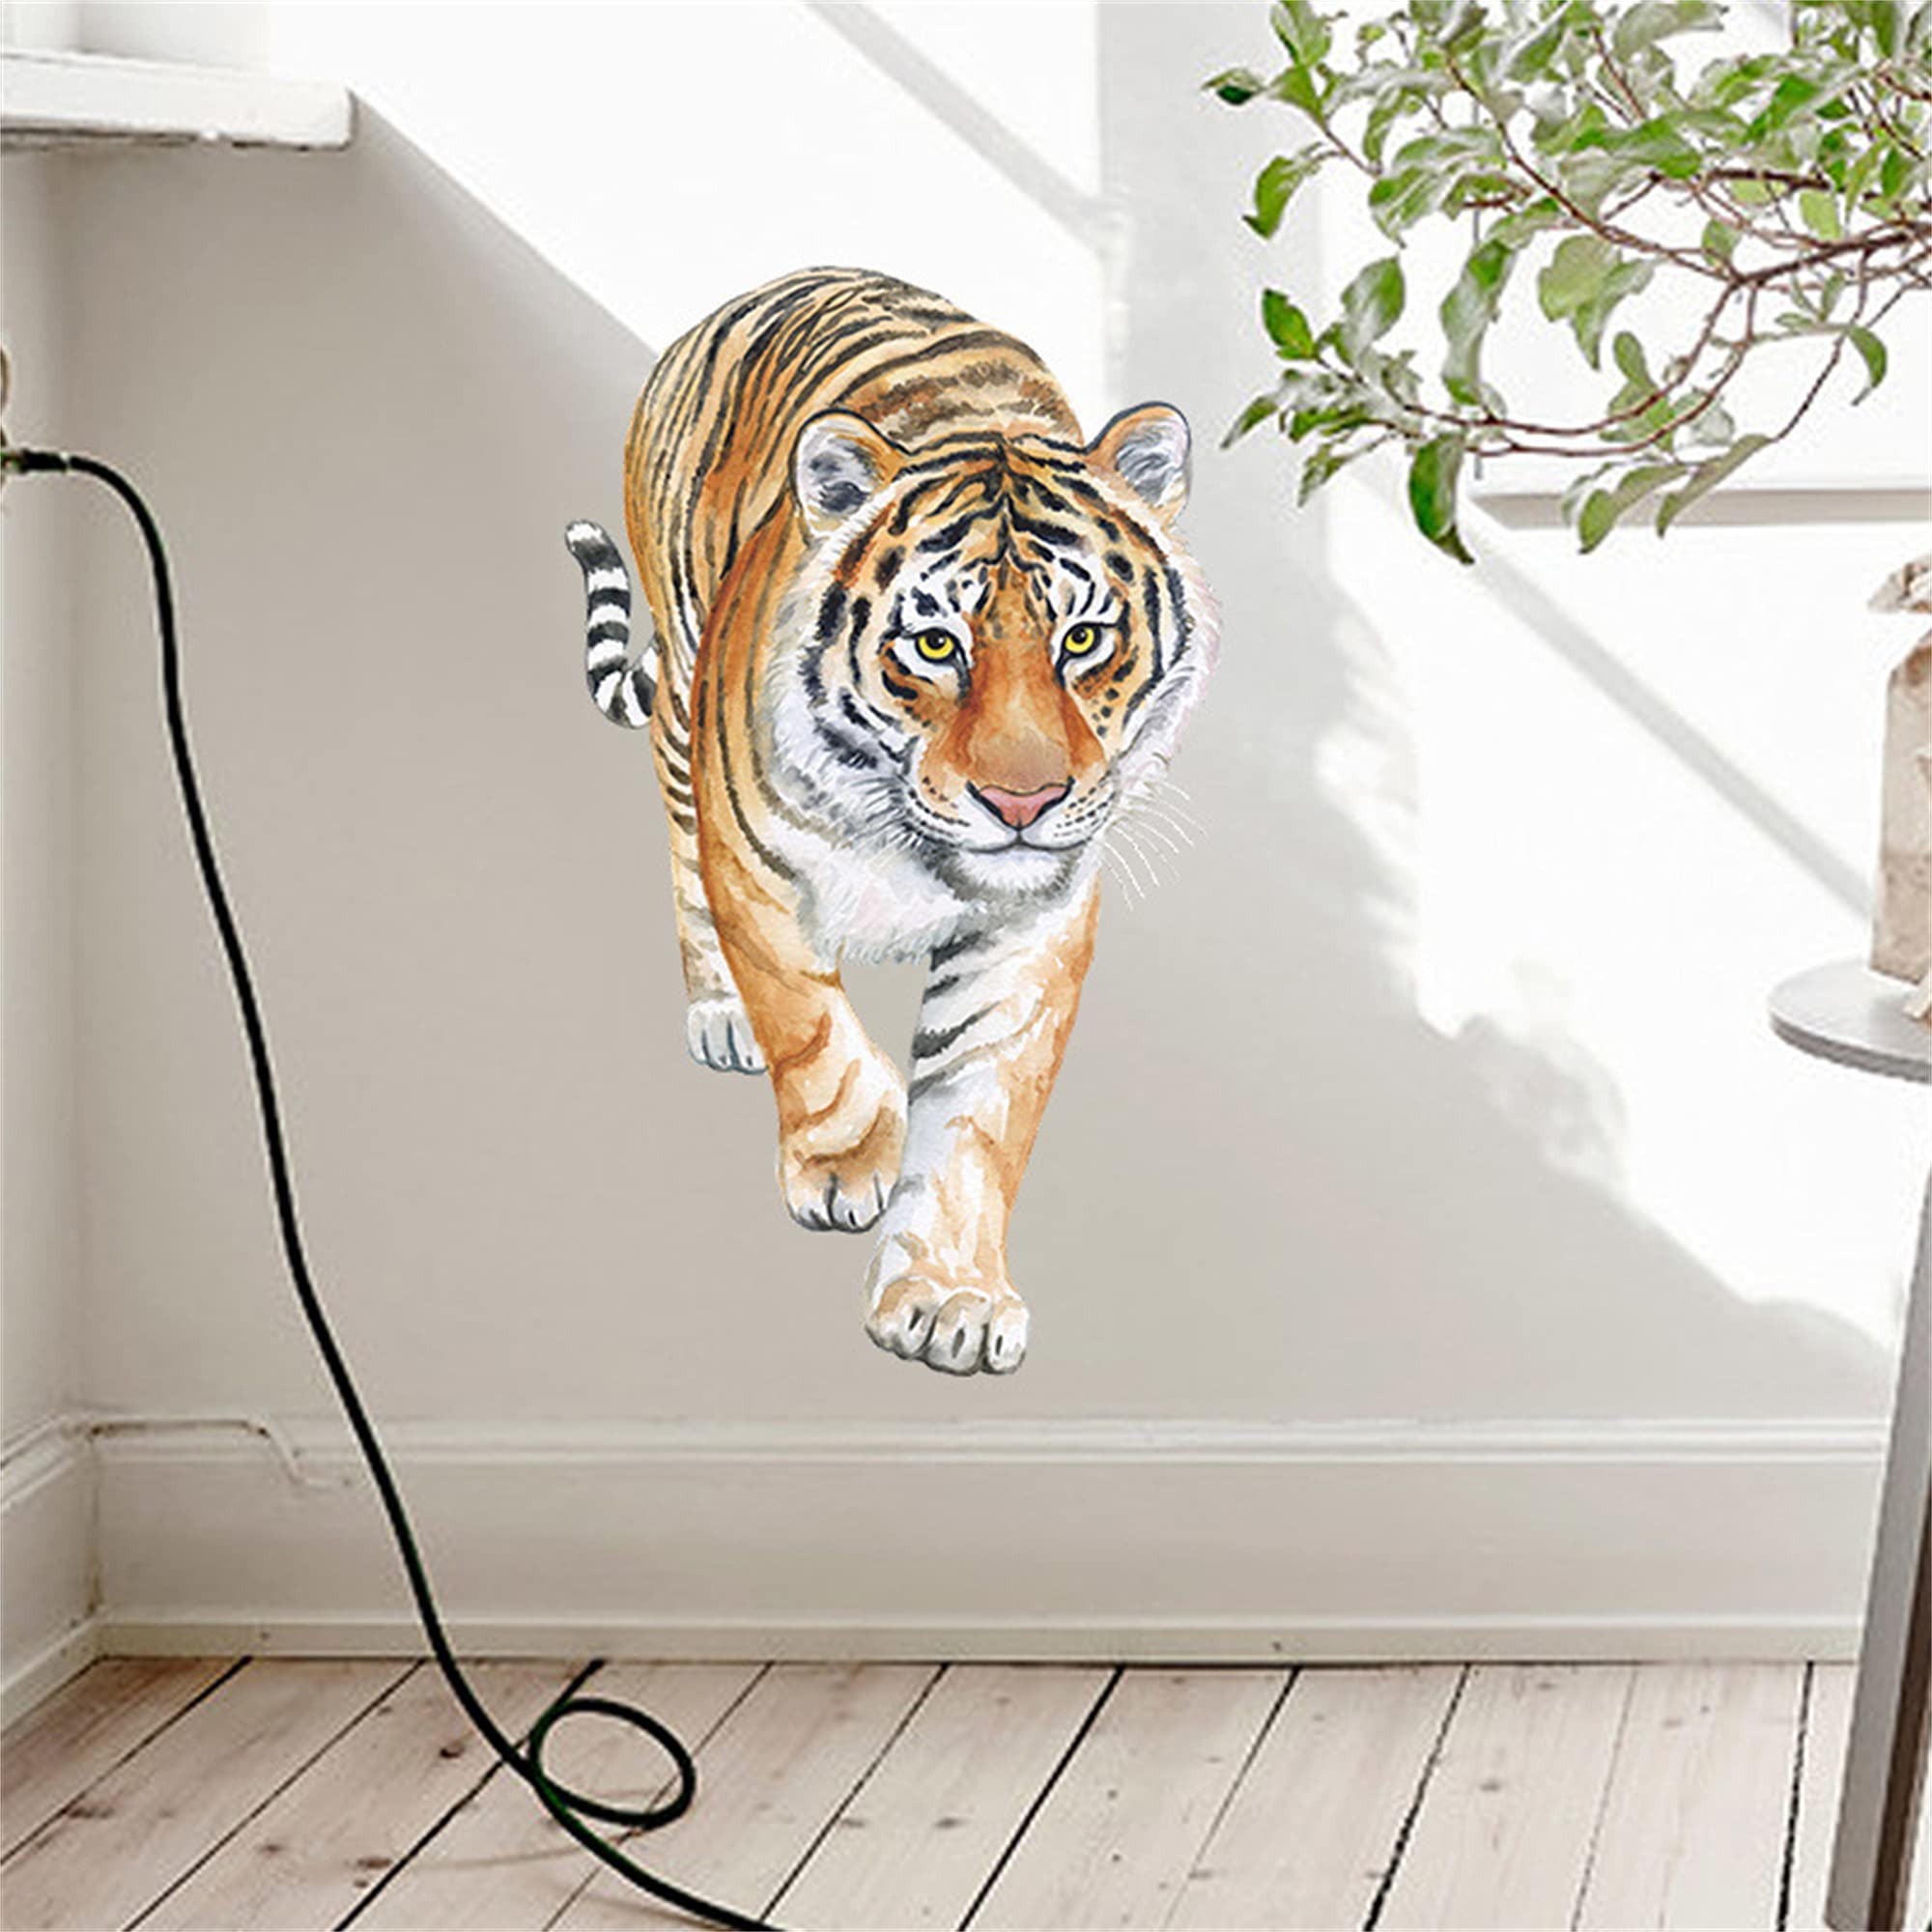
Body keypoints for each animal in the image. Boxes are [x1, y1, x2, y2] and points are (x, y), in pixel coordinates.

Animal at [565, 267, 1216, 1375]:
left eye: (1084, 639)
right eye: (935, 644)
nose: (1022, 801)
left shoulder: (1031, 924)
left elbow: (978, 1113)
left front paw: (951, 1295)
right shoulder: (756, 865)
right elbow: (808, 1024)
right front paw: (847, 1159)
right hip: (685, 701)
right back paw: (720, 1013)